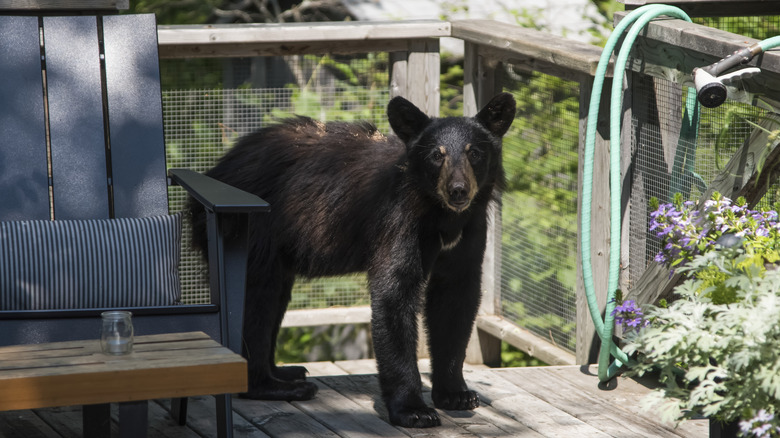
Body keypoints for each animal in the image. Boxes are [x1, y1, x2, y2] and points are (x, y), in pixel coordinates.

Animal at [190, 93, 516, 428]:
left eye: (474, 152)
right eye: (437, 155)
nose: (458, 191)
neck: (442, 215)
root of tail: (217, 170)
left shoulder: (470, 229)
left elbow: (456, 298)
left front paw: (455, 394)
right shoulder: (399, 219)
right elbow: (394, 293)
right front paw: (413, 409)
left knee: (274, 298)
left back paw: (285, 372)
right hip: (252, 230)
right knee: (256, 301)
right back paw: (274, 386)